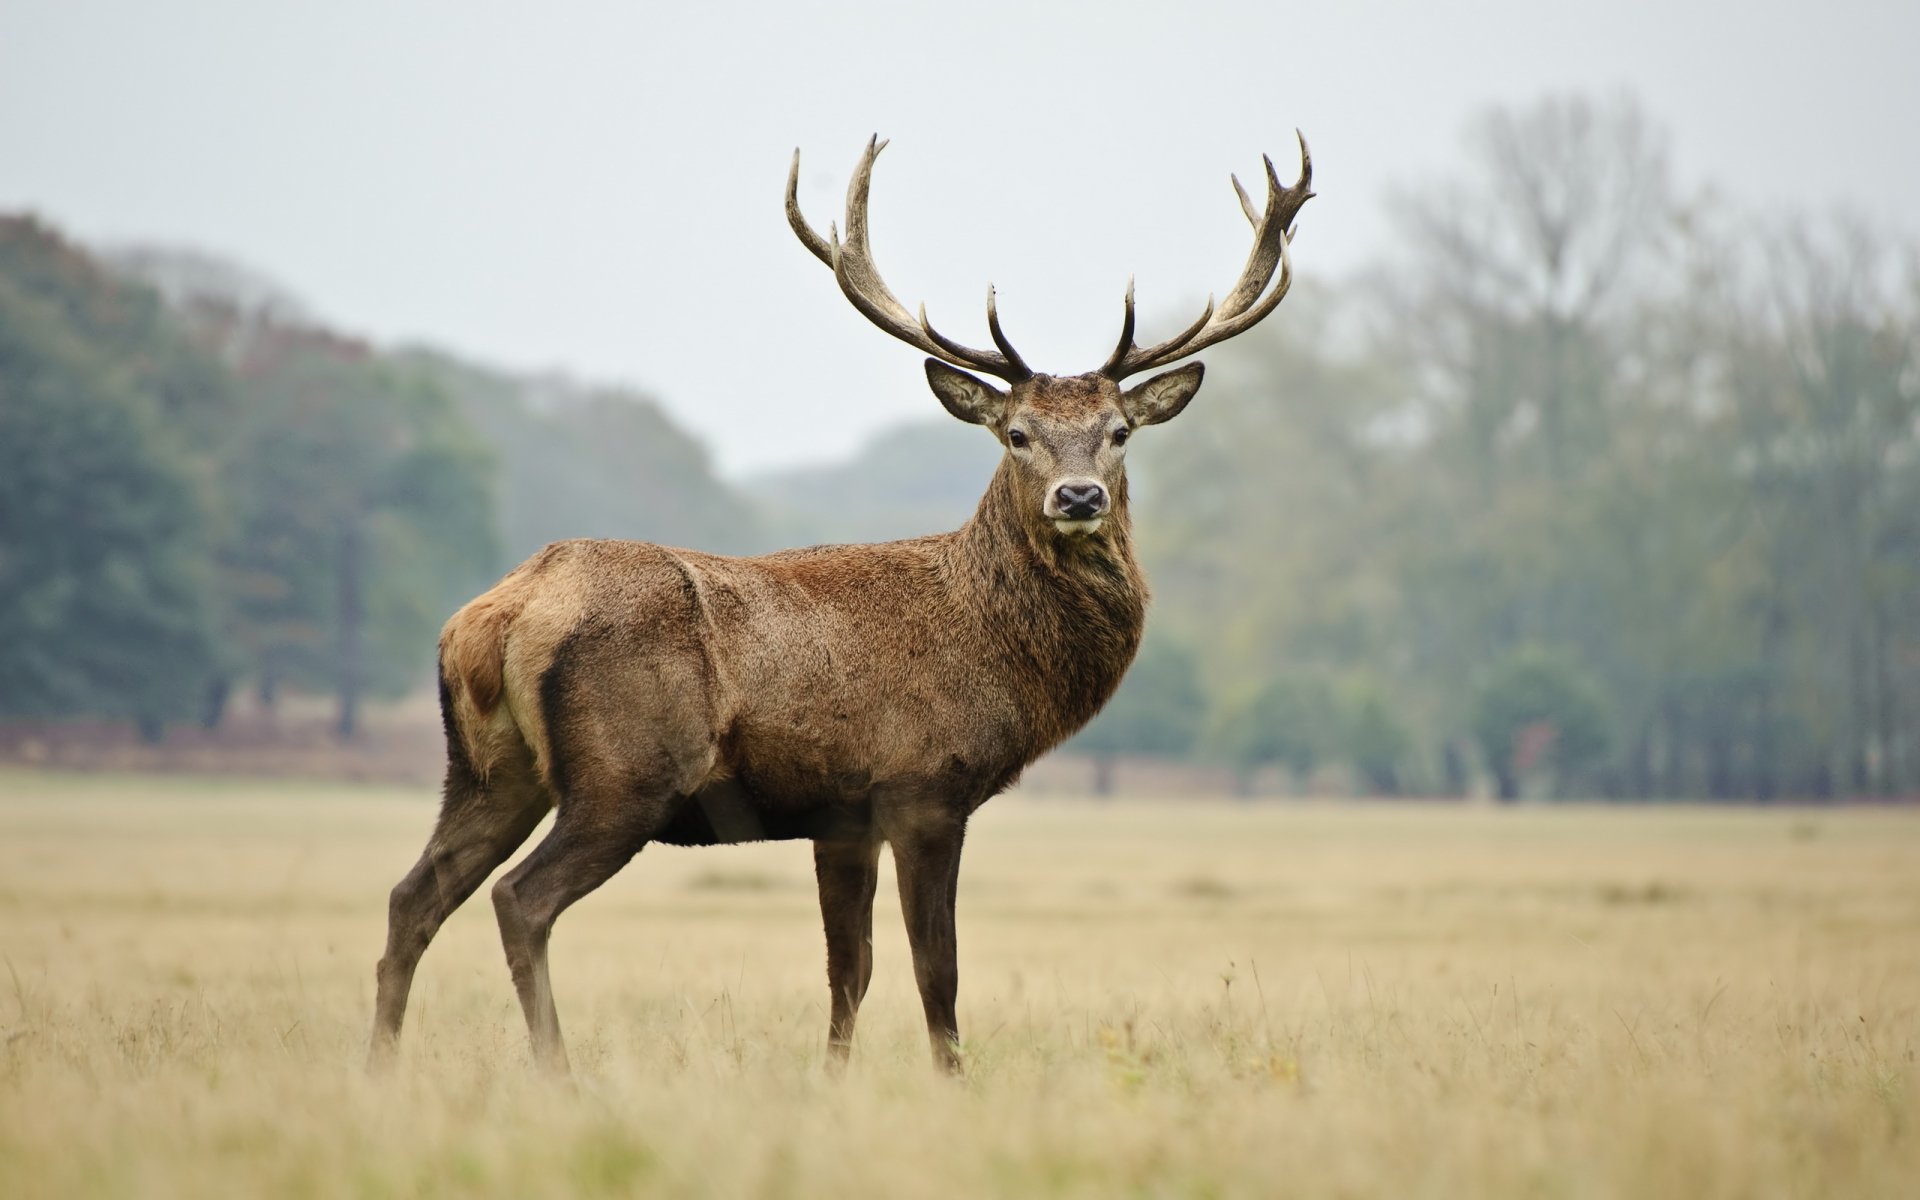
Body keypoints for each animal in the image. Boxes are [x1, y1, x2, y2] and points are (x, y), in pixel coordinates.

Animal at [368, 133, 1312, 1076]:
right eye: (1016, 434)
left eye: (1119, 432)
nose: (1078, 496)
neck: (994, 650)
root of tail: (495, 615)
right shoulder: (924, 784)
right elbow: (938, 969)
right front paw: (952, 1081)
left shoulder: (841, 815)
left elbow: (847, 968)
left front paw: (832, 1080)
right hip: (624, 772)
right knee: (518, 899)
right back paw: (557, 1074)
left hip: (490, 769)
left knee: (413, 895)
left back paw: (380, 1066)